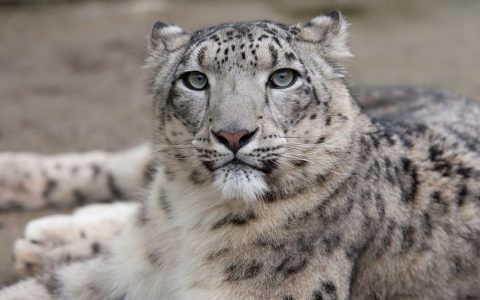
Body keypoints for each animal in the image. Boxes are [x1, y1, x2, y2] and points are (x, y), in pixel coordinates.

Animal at [0, 11, 480, 300]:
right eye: (195, 80)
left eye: (283, 77)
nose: (233, 133)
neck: (192, 218)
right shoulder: (117, 276)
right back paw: (17, 183)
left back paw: (45, 238)